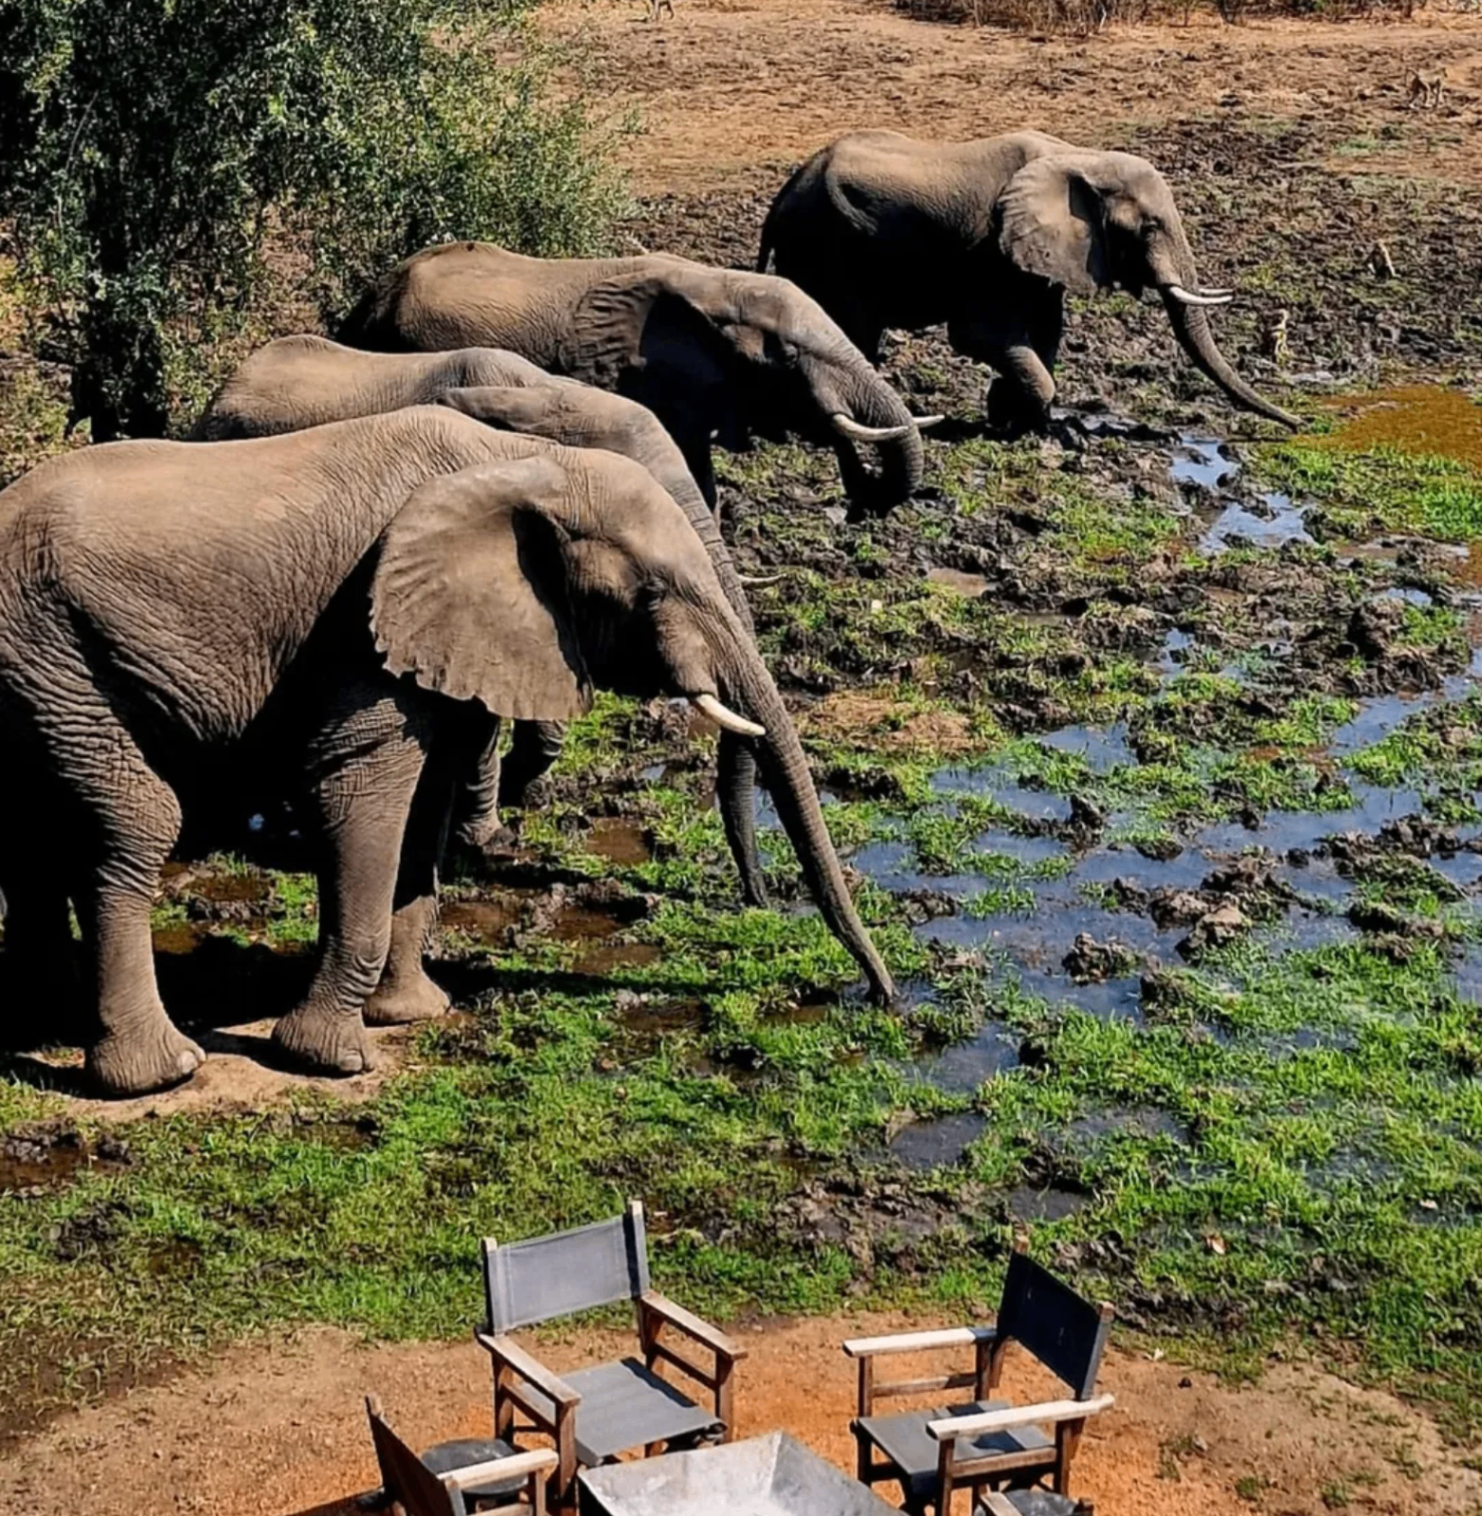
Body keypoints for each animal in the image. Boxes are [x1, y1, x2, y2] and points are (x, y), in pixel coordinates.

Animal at [0, 406, 894, 1096]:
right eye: (649, 592)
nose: (881, 996)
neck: (526, 462)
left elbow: (428, 801)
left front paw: (410, 1014)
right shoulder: (364, 629)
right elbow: (361, 795)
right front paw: (333, 1060)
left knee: (38, 832)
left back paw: (44, 1020)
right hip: (50, 653)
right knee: (132, 826)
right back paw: (159, 1073)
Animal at [756, 130, 1298, 433]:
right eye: (1147, 228)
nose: (1300, 423)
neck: (1081, 159)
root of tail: (782, 195)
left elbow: (1047, 330)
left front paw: (1012, 414)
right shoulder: (990, 251)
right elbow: (978, 335)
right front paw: (1009, 418)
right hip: (823, 244)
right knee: (849, 327)